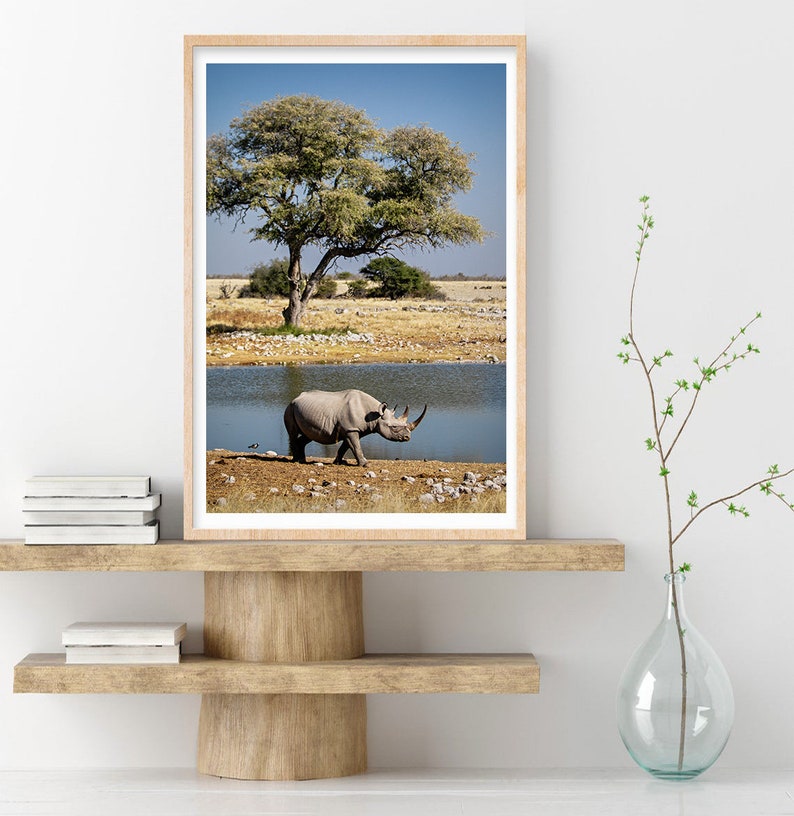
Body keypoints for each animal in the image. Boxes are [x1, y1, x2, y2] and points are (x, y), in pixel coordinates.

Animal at [284, 389, 428, 466]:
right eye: (394, 427)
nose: (408, 437)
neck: (375, 415)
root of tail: (296, 398)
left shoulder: (352, 429)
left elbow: (346, 447)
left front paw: (338, 462)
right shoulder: (351, 429)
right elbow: (356, 446)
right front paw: (365, 464)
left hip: (301, 409)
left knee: (309, 435)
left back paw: (302, 460)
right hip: (290, 408)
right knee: (293, 433)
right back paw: (296, 461)